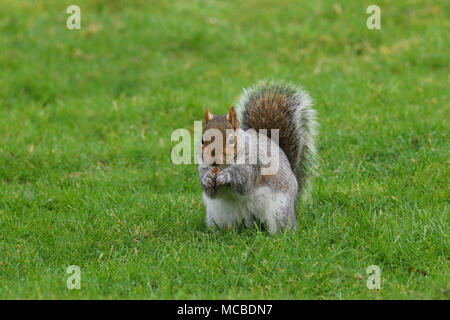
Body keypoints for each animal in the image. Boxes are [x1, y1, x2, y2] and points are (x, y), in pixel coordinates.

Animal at [197, 80, 316, 232]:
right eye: (202, 140)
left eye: (231, 140)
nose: (213, 160)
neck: (225, 165)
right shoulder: (203, 166)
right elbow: (209, 190)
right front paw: (207, 179)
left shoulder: (253, 164)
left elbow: (244, 181)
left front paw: (226, 176)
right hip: (218, 215)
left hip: (280, 209)